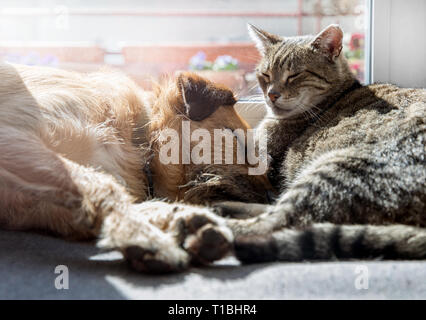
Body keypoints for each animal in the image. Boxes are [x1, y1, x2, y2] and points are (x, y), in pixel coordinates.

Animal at [0, 62, 270, 272]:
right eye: (240, 144)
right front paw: (141, 234)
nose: (270, 197)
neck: (138, 142)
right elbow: (106, 187)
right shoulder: (11, 135)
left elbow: (120, 199)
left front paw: (182, 221)